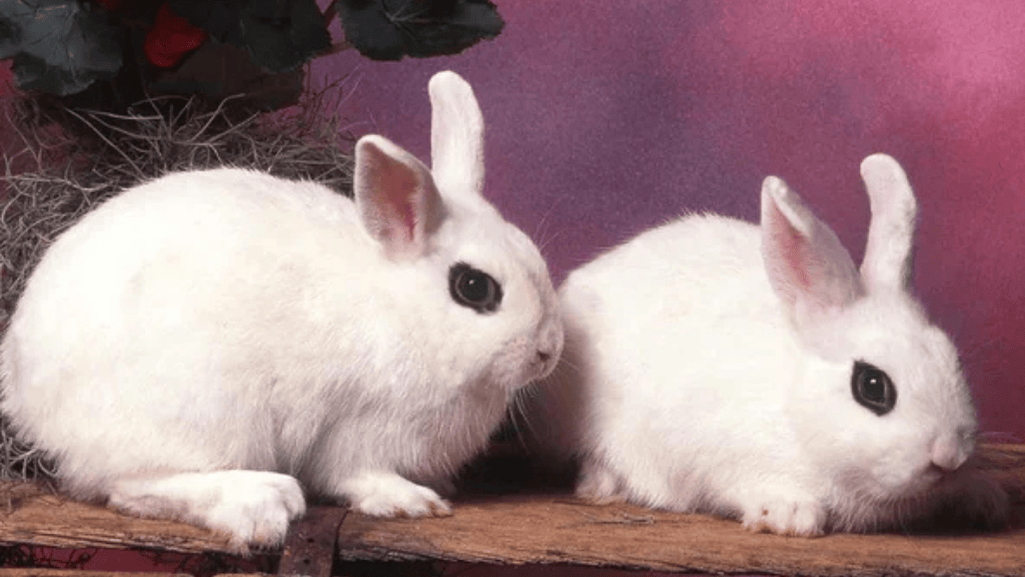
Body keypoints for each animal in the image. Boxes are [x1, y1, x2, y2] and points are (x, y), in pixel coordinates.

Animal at [0, 70, 564, 552]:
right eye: (473, 287)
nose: (549, 351)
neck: (402, 310)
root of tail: (26, 398)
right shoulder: (356, 430)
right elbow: (358, 475)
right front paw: (413, 502)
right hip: (205, 414)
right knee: (131, 487)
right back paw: (265, 499)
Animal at [526, 153, 1008, 536]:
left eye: (952, 357)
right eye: (872, 386)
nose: (949, 456)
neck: (797, 410)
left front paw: (986, 499)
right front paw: (789, 514)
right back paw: (603, 483)